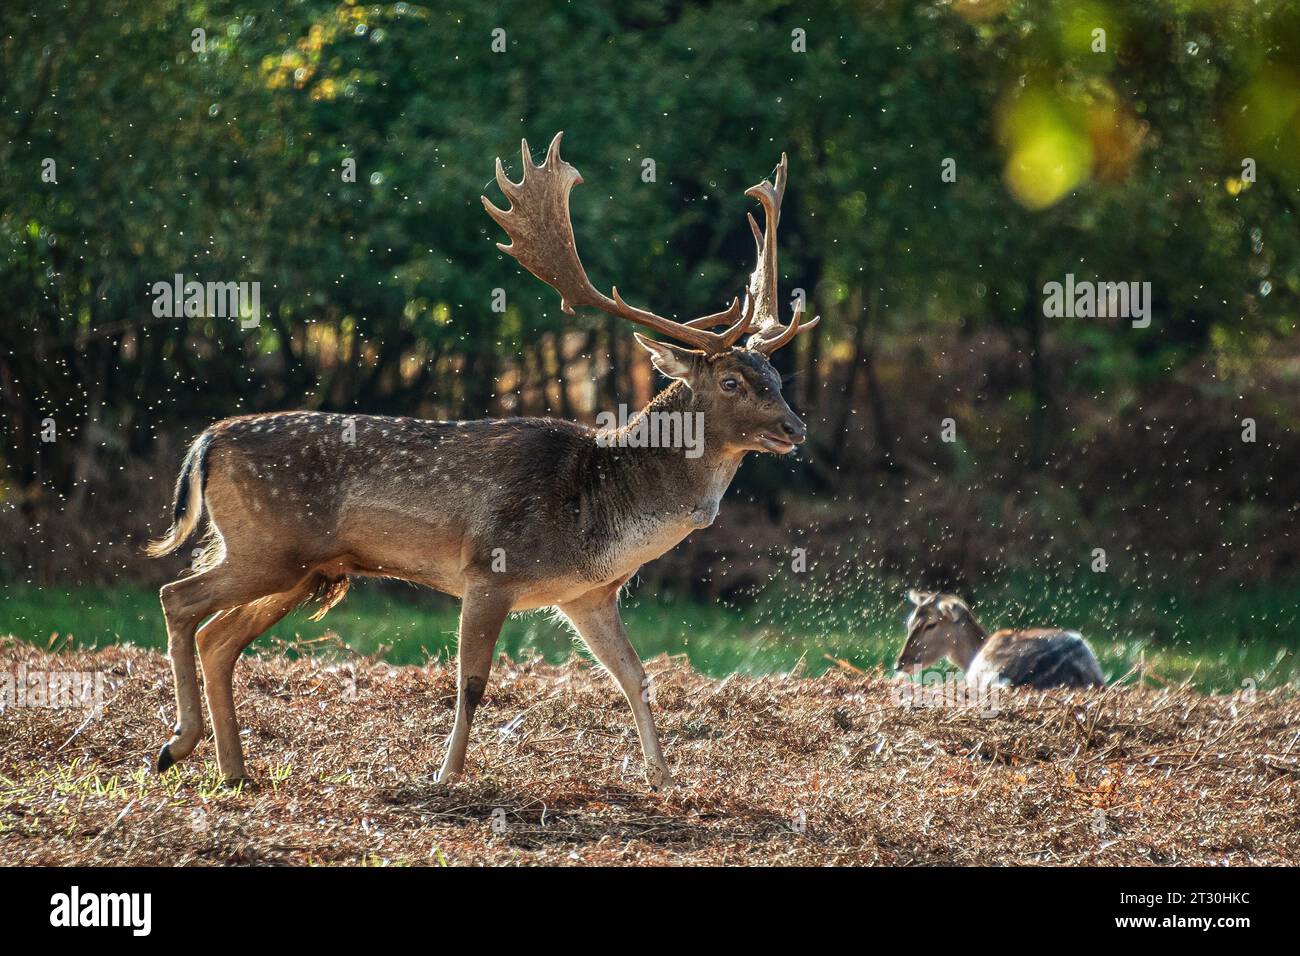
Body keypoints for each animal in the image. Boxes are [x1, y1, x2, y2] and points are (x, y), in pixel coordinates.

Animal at [146, 132, 818, 790]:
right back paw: (176, 744)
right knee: (178, 599)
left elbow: (635, 676)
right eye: (732, 382)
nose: (796, 427)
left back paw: (232, 770)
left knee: (218, 636)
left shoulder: (587, 596)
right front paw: (445, 775)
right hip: (268, 546)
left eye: (775, 376)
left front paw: (663, 778)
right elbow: (471, 683)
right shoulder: (489, 570)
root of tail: (208, 442)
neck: (598, 509)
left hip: (301, 567)